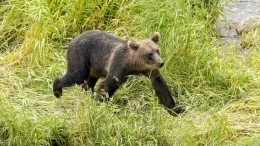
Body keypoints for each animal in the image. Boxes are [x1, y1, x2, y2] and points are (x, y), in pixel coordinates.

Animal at [52, 30, 183, 115]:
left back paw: (87, 93)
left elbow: (160, 84)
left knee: (89, 80)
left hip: (95, 66)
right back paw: (57, 90)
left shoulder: (149, 70)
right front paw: (100, 104)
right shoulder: (119, 65)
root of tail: (73, 38)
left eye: (157, 50)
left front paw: (175, 108)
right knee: (77, 75)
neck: (135, 65)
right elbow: (109, 84)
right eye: (149, 54)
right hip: (81, 55)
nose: (161, 63)